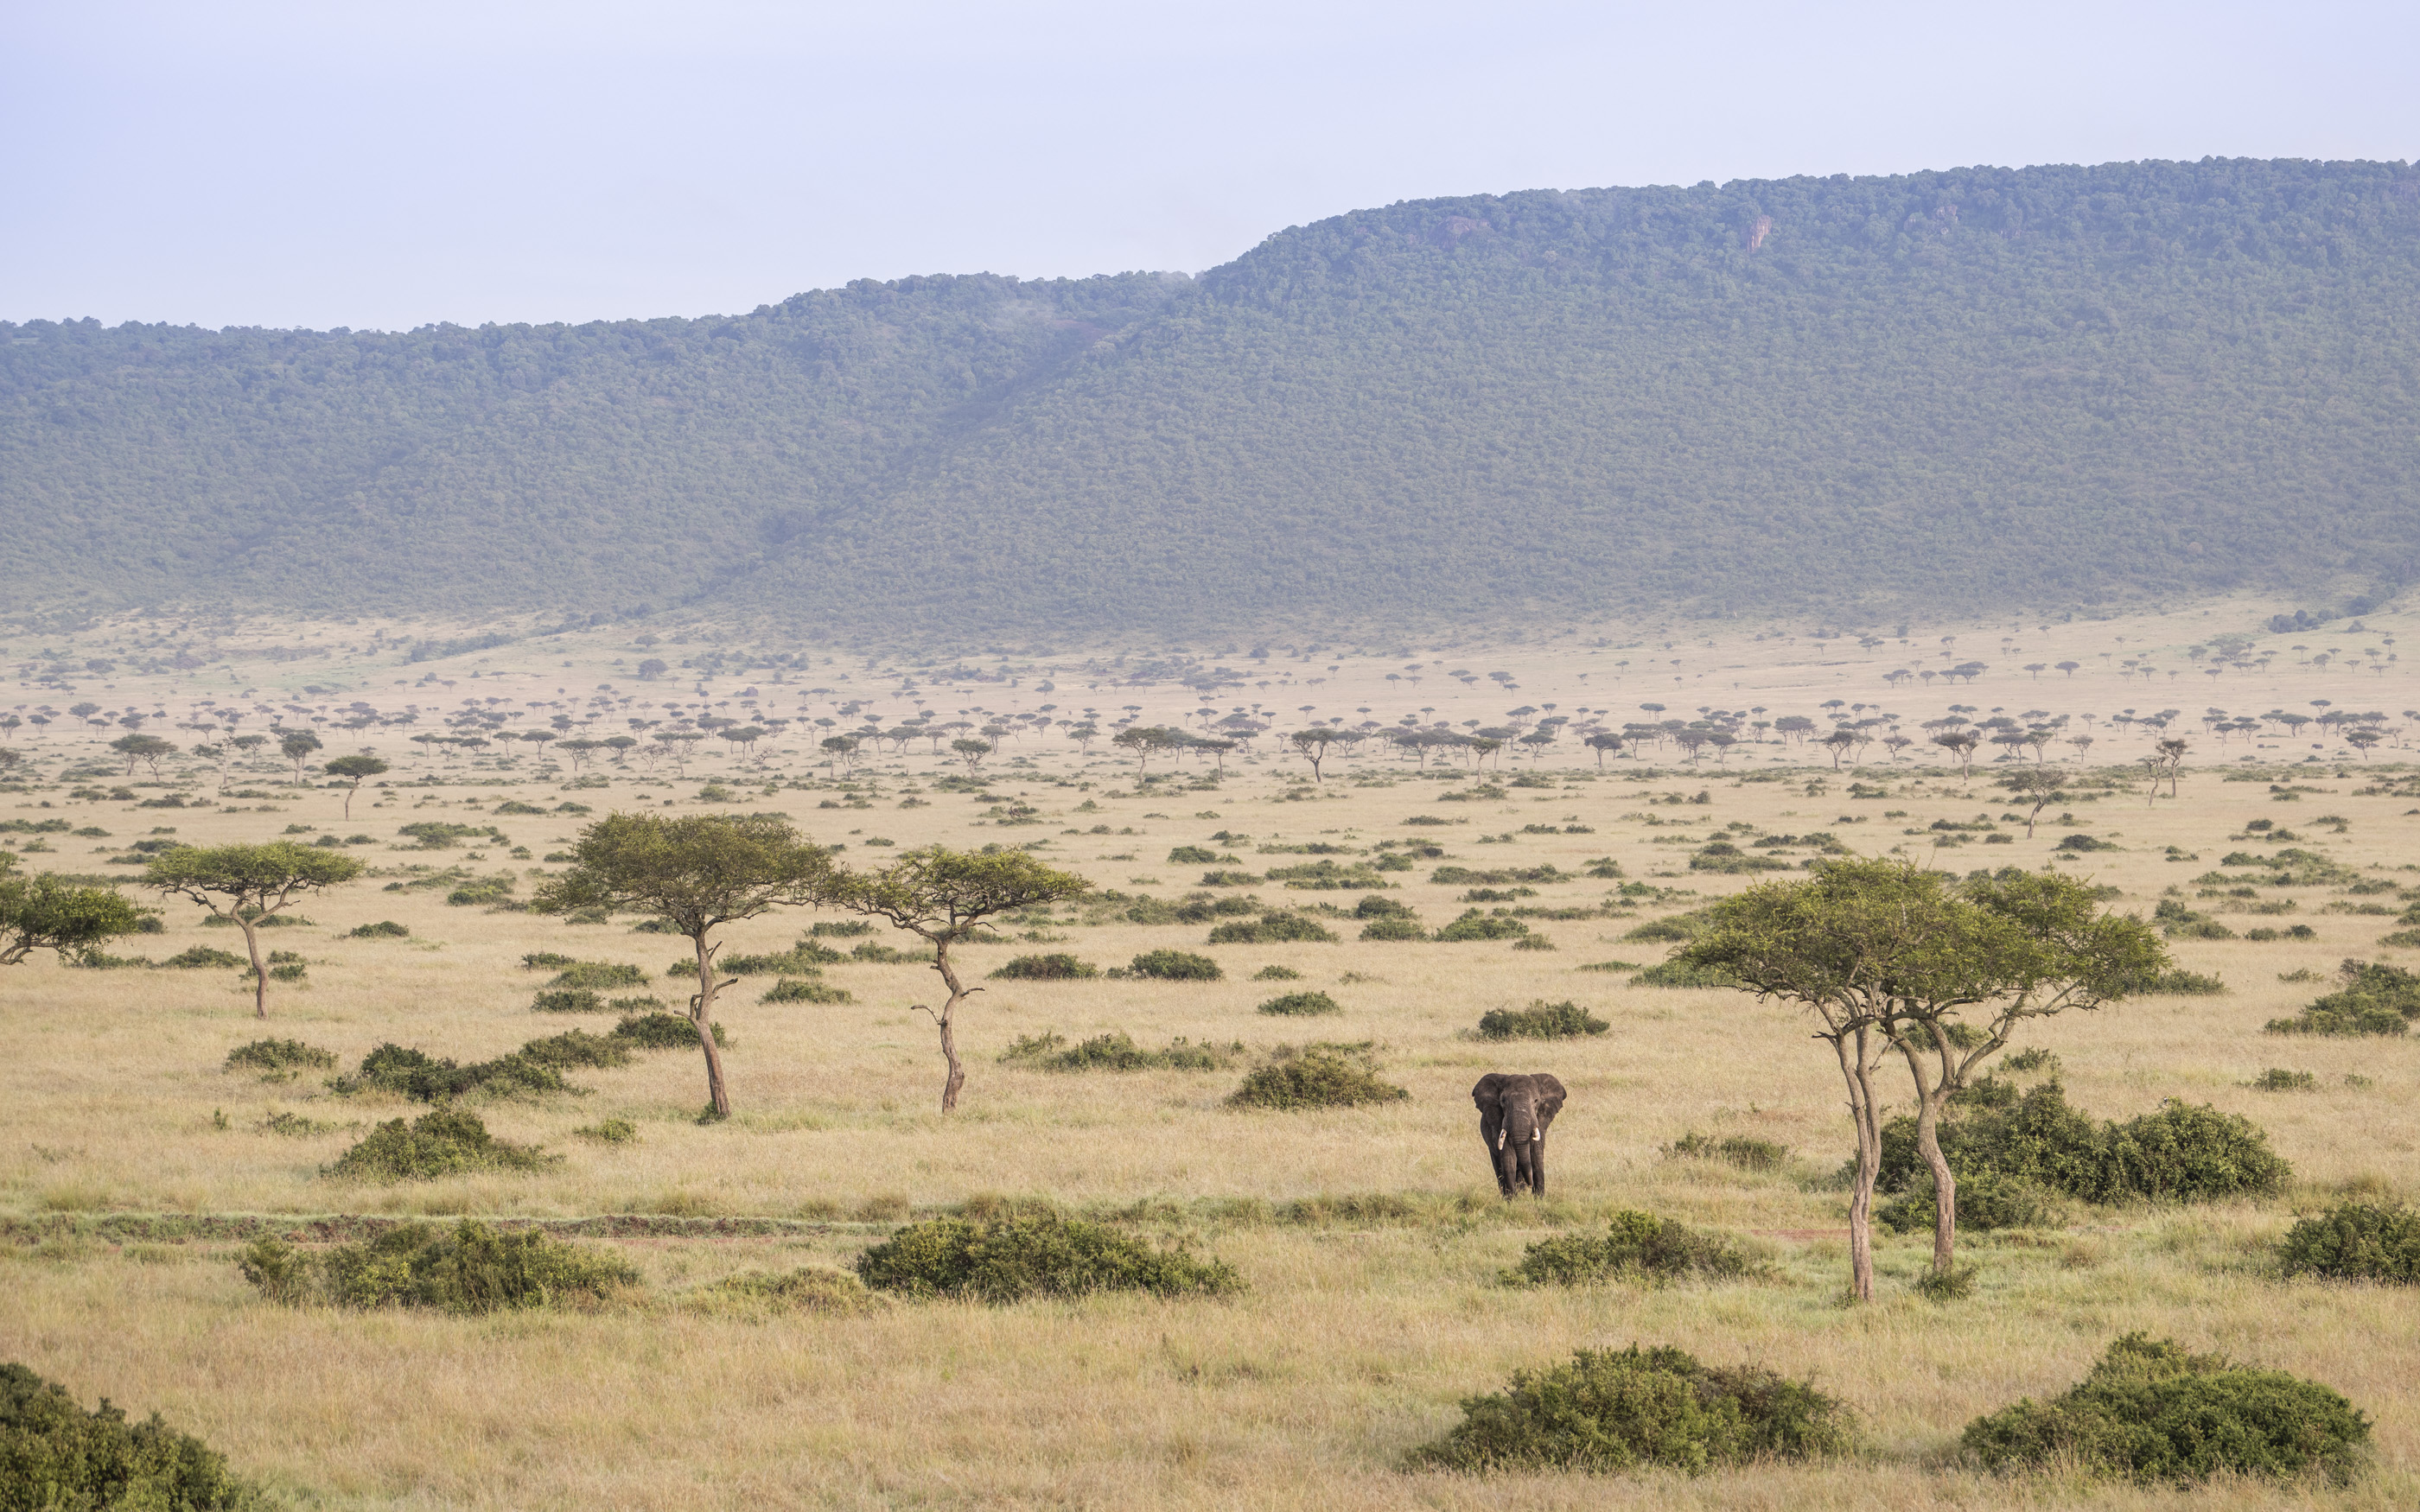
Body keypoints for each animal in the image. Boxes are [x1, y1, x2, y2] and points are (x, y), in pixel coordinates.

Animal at [1472, 1072, 1566, 1198]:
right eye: (1503, 1101)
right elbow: (1508, 1154)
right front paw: (1512, 1200)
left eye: (1536, 1101)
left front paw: (1538, 1199)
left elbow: (1536, 1153)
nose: (1530, 1185)